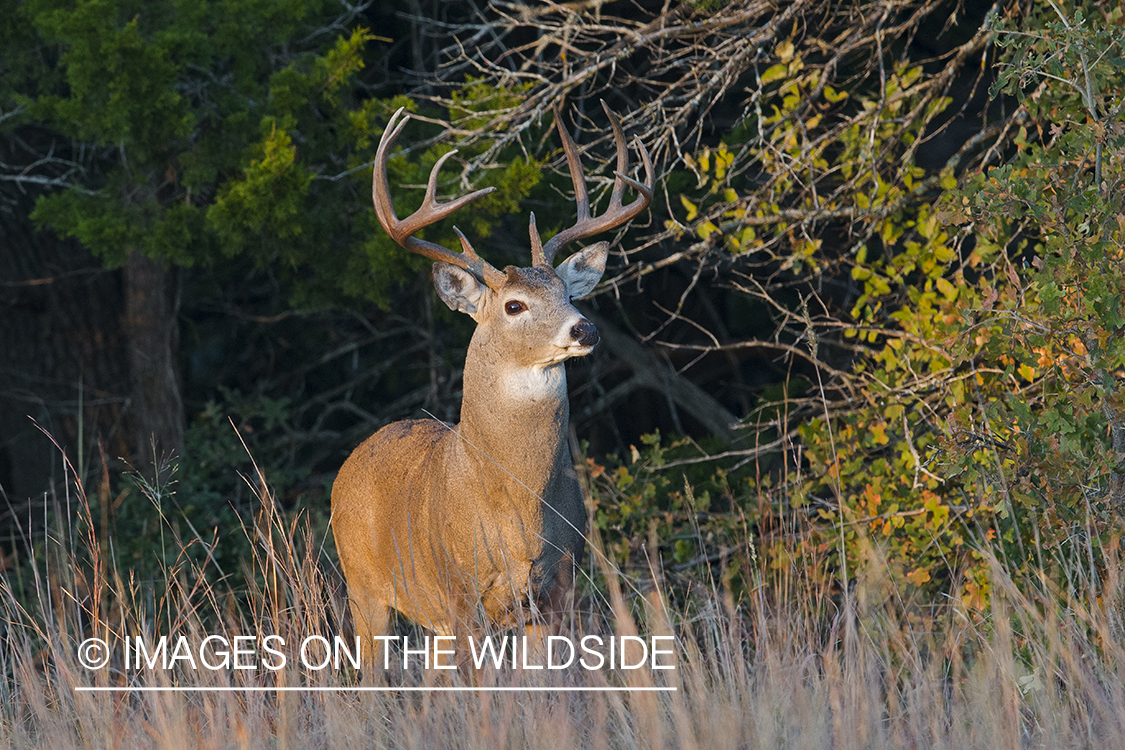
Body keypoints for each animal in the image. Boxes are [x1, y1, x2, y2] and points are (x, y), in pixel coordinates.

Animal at [328, 101, 657, 661]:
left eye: (569, 293)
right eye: (514, 305)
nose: (585, 328)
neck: (517, 516)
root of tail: (350, 463)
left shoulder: (557, 589)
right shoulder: (460, 593)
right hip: (364, 586)